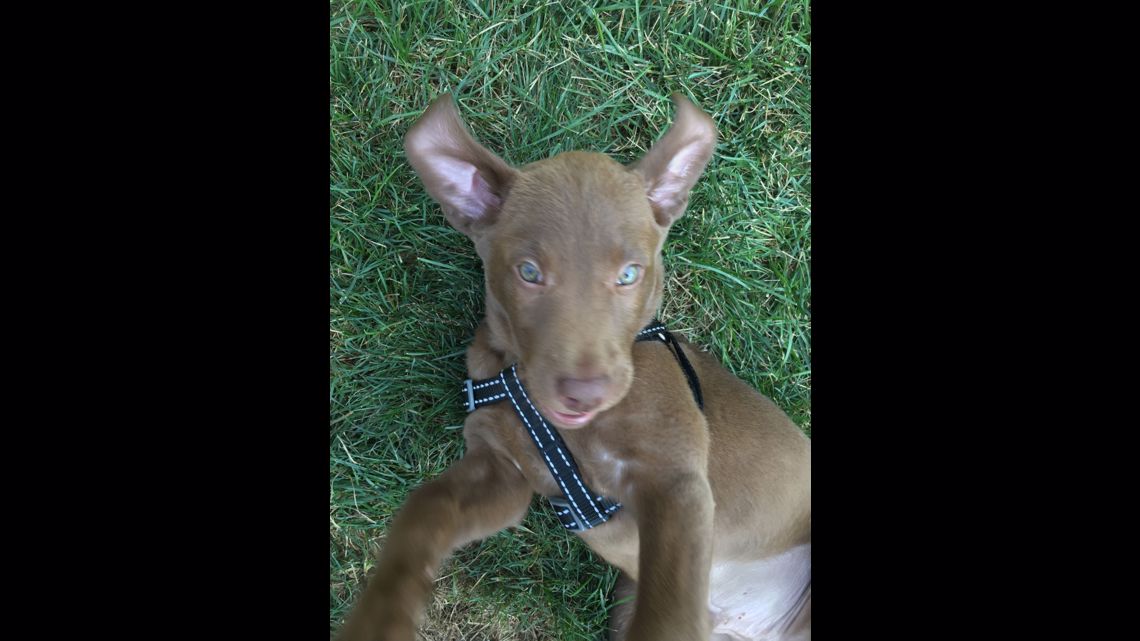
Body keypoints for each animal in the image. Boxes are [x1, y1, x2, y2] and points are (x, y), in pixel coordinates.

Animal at [337, 92, 811, 634]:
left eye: (629, 274)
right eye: (528, 272)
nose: (584, 394)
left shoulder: (676, 483)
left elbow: (668, 614)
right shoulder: (503, 469)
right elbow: (427, 507)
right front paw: (381, 611)